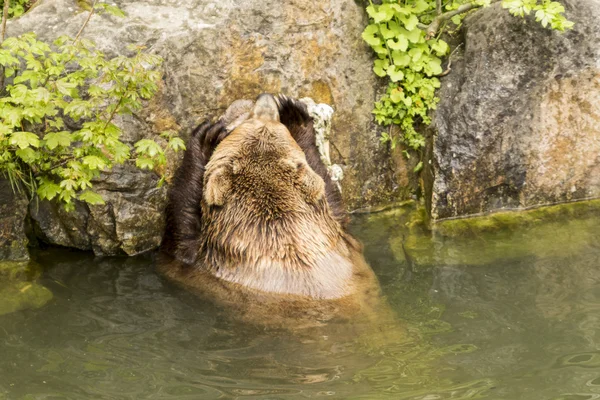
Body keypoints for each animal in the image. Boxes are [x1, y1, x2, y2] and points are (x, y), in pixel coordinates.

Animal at [159, 95, 384, 326]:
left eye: (250, 119)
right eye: (272, 122)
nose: (265, 98)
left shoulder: (202, 265)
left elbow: (178, 236)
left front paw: (207, 135)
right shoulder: (346, 245)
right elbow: (331, 196)